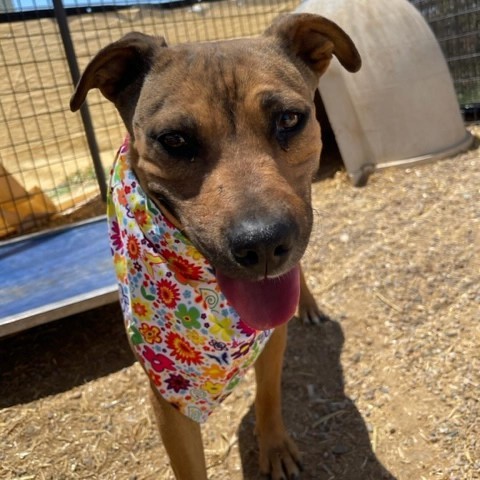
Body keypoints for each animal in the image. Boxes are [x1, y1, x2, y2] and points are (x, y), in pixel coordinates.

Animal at [71, 13, 360, 478]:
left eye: (289, 119)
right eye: (174, 140)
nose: (264, 244)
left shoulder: (271, 338)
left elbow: (268, 395)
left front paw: (274, 447)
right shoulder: (167, 399)